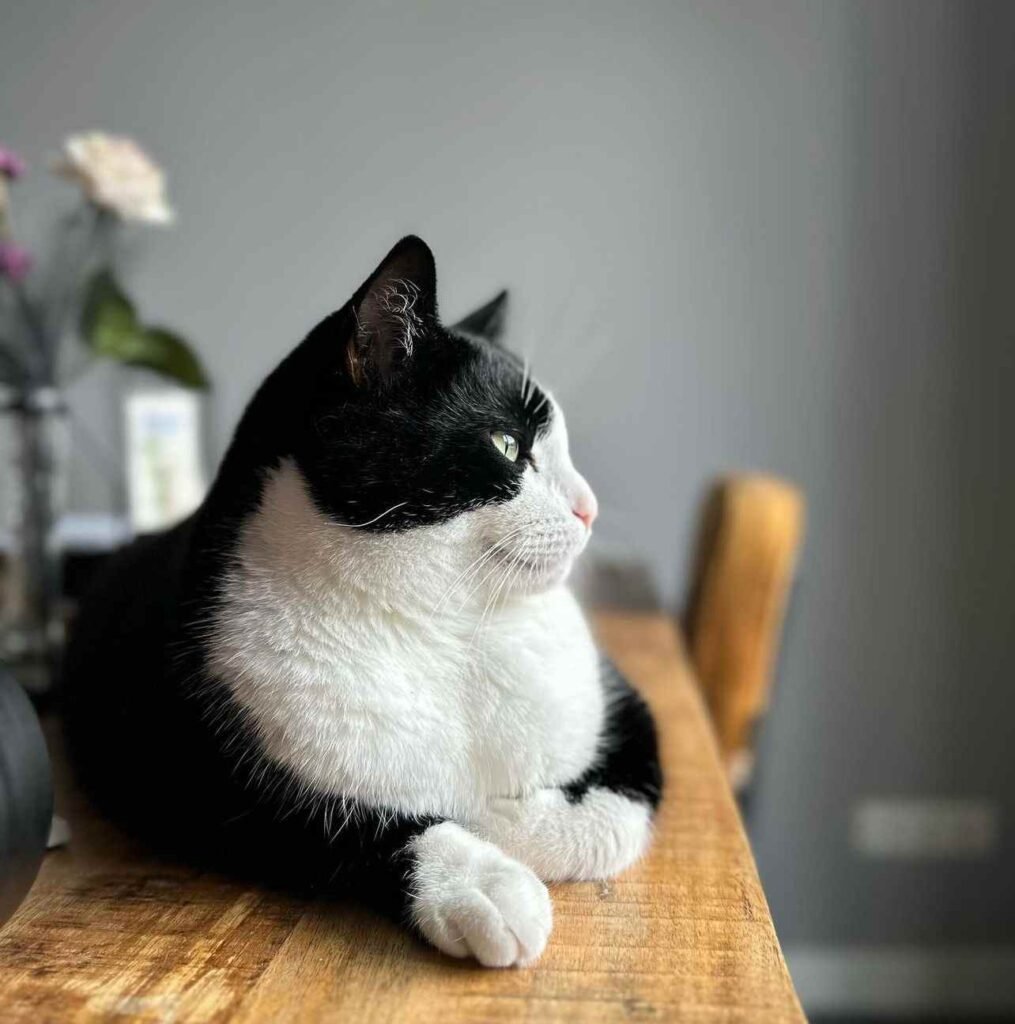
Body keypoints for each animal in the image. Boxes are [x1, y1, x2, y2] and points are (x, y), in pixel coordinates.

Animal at [63, 235, 667, 962]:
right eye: (506, 444)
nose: (588, 508)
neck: (447, 629)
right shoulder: (215, 791)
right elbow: (366, 832)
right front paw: (482, 877)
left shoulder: (625, 708)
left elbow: (615, 815)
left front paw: (500, 817)